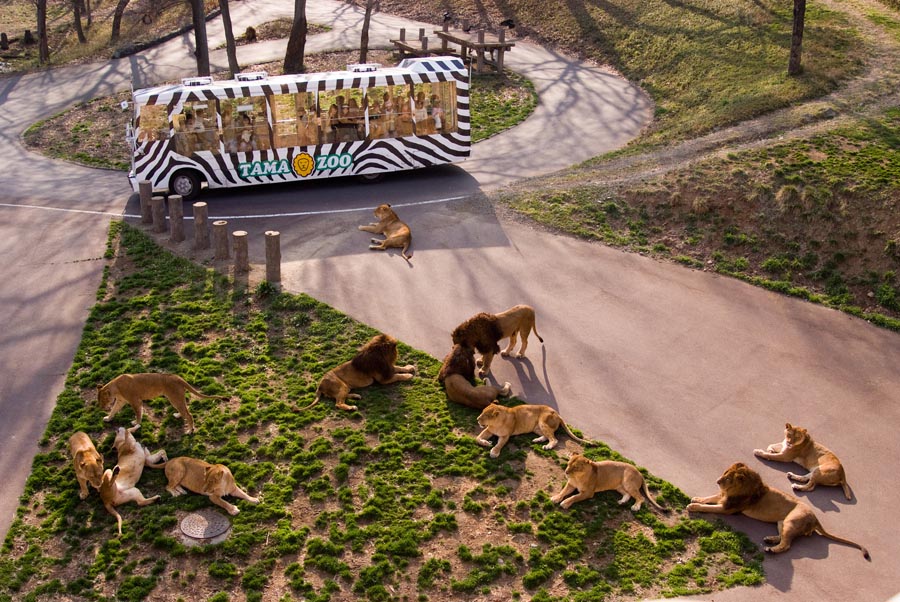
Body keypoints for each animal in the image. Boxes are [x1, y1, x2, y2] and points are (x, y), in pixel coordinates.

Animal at [94, 370, 227, 432]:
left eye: (102, 401)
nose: (101, 408)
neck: (116, 388)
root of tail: (179, 377)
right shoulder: (120, 401)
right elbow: (113, 410)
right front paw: (108, 418)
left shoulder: (135, 401)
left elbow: (138, 414)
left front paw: (136, 425)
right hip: (175, 399)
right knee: (184, 410)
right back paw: (178, 415)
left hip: (174, 398)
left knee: (189, 414)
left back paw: (190, 430)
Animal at [684, 460, 868, 556]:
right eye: (724, 473)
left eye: (728, 478)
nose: (717, 481)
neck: (736, 489)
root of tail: (815, 518)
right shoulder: (724, 498)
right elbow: (710, 497)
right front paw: (697, 498)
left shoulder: (728, 508)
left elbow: (709, 507)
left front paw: (693, 505)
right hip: (783, 522)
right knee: (784, 537)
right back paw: (770, 539)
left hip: (791, 522)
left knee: (787, 544)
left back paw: (771, 549)